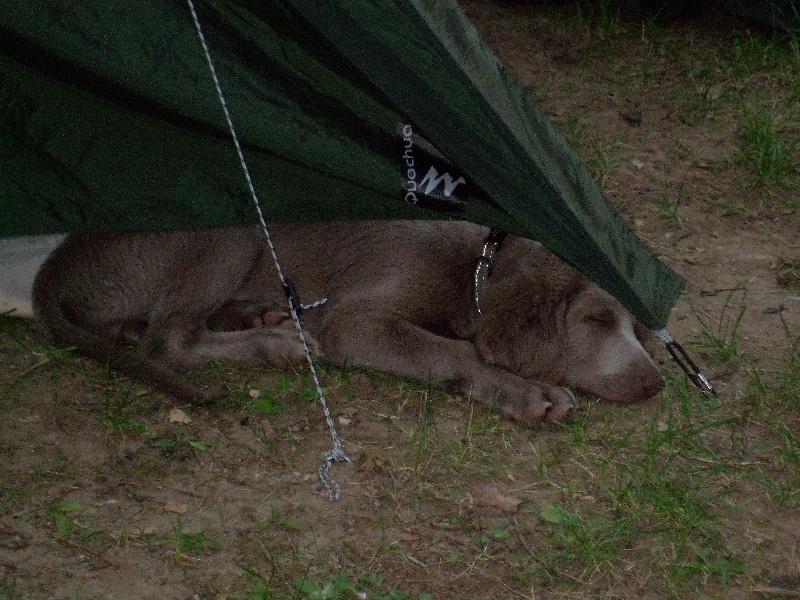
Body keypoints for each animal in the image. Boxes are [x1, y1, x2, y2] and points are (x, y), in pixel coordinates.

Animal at [32, 221, 664, 426]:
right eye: (596, 319)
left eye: (638, 328)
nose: (656, 383)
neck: (475, 269)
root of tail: (55, 264)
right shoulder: (357, 321)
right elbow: (455, 352)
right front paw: (529, 391)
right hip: (227, 234)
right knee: (170, 340)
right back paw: (277, 342)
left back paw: (261, 315)